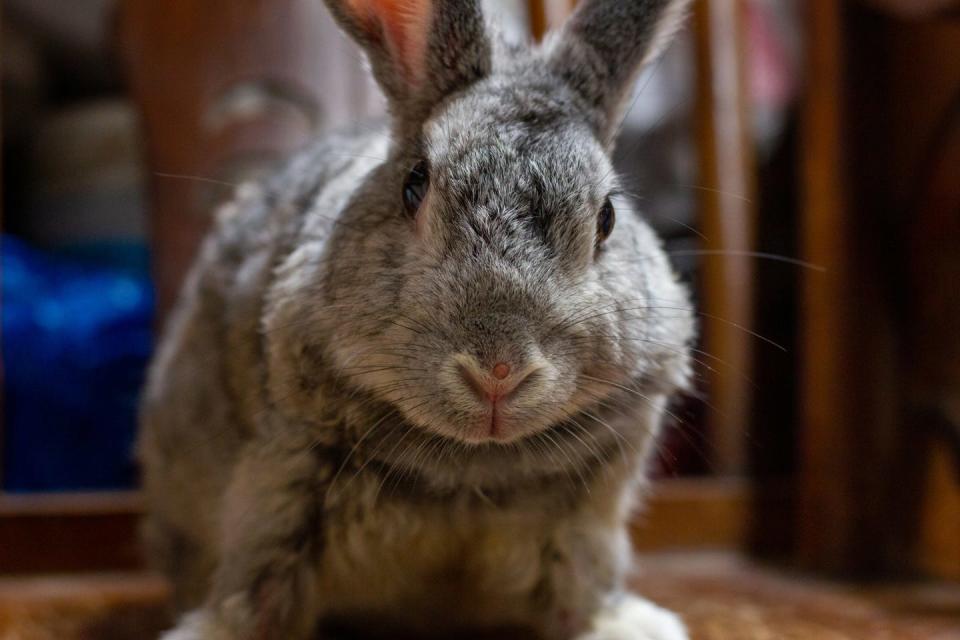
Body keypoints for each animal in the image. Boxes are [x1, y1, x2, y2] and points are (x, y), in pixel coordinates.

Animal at [139, 1, 692, 640]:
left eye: (606, 217)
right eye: (414, 185)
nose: (498, 370)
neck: (472, 463)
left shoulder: (588, 514)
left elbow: (581, 582)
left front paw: (621, 625)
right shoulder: (282, 486)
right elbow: (260, 585)